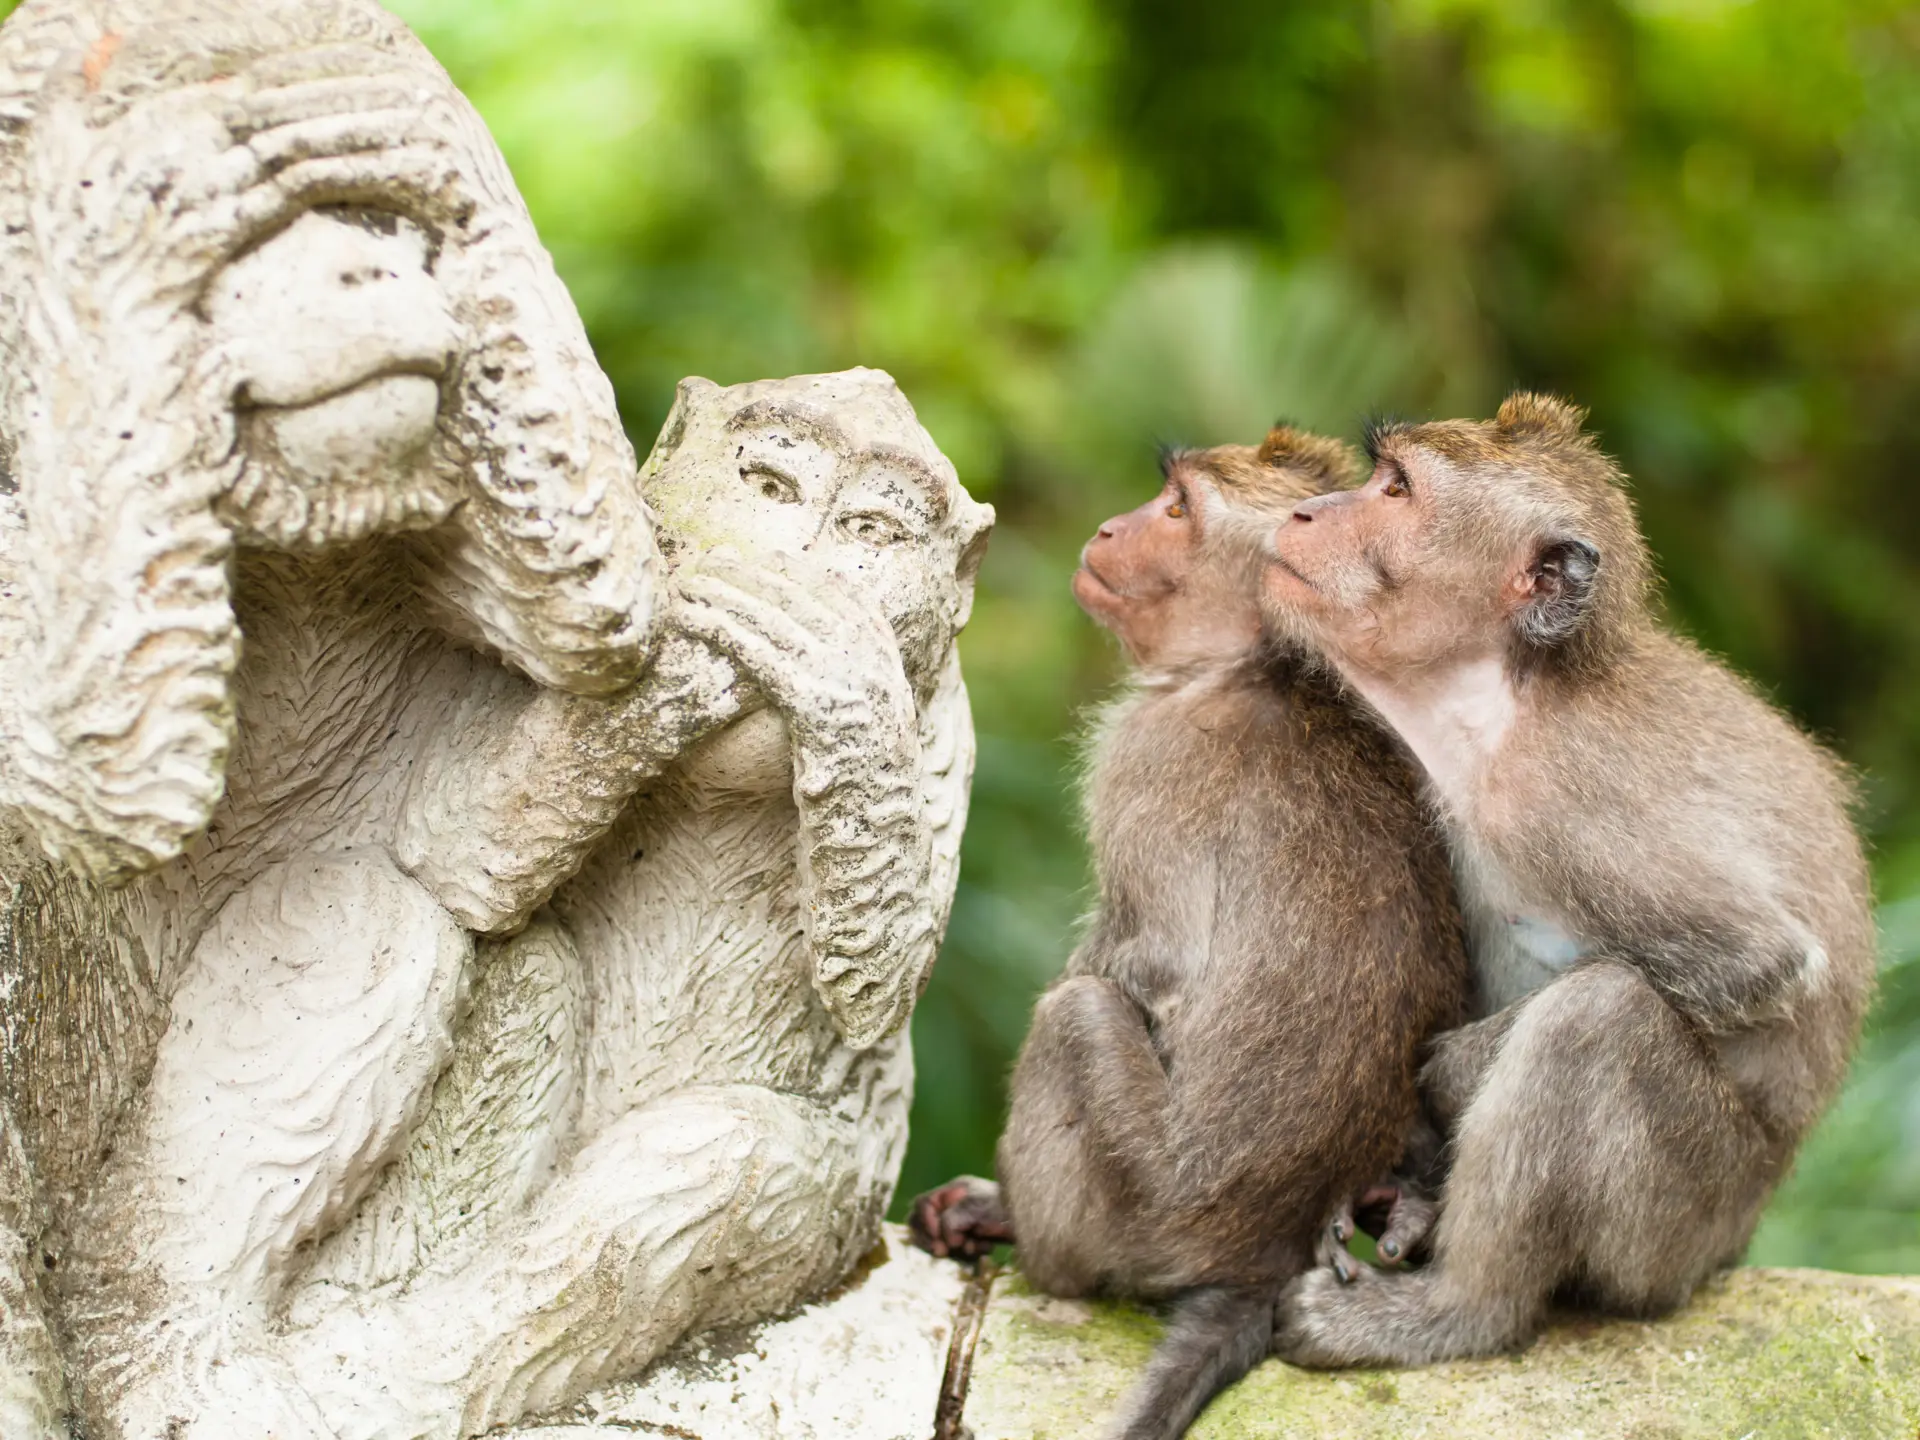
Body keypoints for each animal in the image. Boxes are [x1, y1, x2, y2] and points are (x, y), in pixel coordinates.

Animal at [908, 428, 1467, 1440]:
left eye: (1175, 509)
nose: (1108, 527)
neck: (1252, 665)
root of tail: (1259, 1257)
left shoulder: (1146, 754)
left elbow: (1147, 961)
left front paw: (991, 1196)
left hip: (1143, 1207)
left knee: (1078, 1016)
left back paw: (1029, 1236)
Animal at [1261, 393, 1876, 1368]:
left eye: (1395, 490)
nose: (1306, 513)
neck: (1504, 698)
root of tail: (1733, 1243)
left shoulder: (1563, 798)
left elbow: (1761, 961)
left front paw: (1448, 1075)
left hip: (1678, 1226)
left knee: (1596, 1021)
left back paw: (1456, 1311)